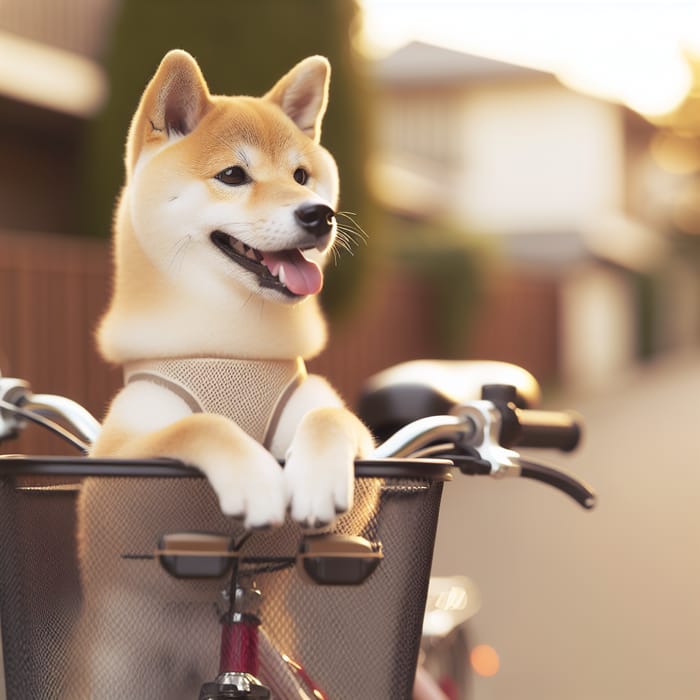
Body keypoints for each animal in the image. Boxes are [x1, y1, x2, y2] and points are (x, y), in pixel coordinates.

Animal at [65, 50, 374, 700]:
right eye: (234, 175)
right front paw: (253, 475)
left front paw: (316, 477)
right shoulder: (124, 465)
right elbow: (200, 427)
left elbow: (331, 419)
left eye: (302, 176)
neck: (230, 345)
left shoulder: (353, 447)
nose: (319, 214)